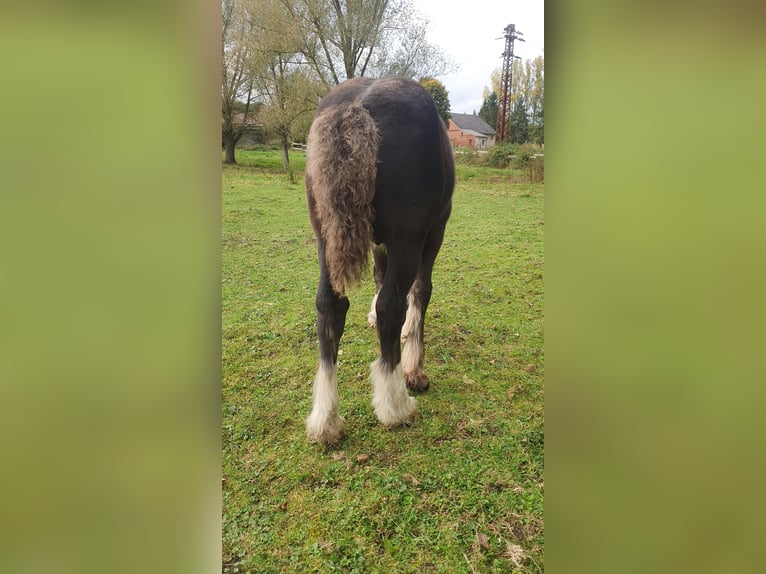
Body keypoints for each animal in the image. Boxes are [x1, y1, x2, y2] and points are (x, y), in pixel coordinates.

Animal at [304, 76, 455, 444]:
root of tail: (356, 107)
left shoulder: (378, 241)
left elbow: (377, 274)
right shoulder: (433, 233)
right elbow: (421, 291)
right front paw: (414, 366)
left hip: (324, 238)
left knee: (329, 305)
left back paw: (325, 419)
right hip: (409, 240)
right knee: (393, 305)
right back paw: (395, 404)